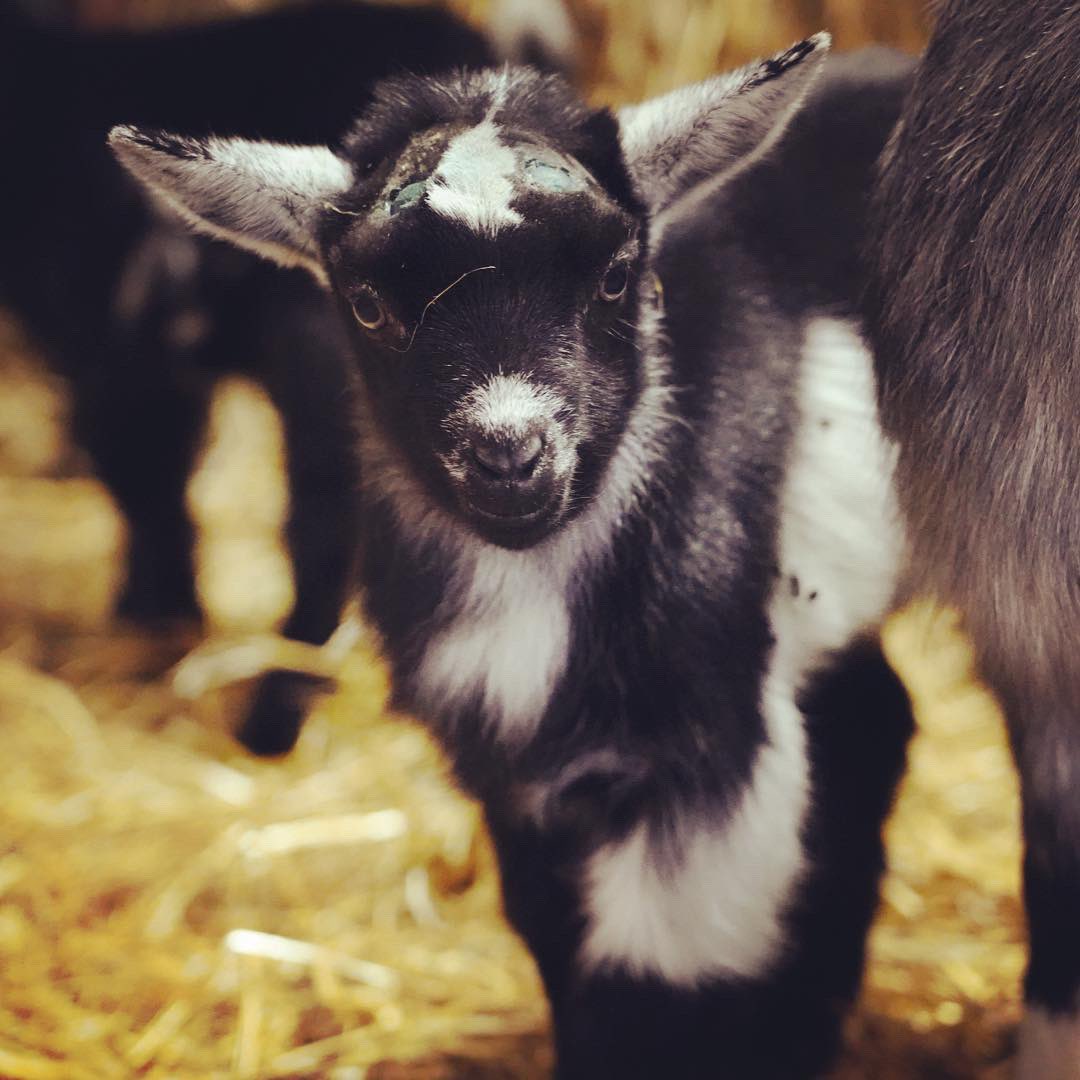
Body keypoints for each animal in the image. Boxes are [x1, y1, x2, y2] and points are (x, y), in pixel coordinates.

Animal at [110, 40, 918, 1078]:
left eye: (615, 276)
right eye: (367, 304)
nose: (510, 453)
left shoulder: (708, 750)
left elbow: (669, 977)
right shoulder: (514, 769)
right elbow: (557, 939)